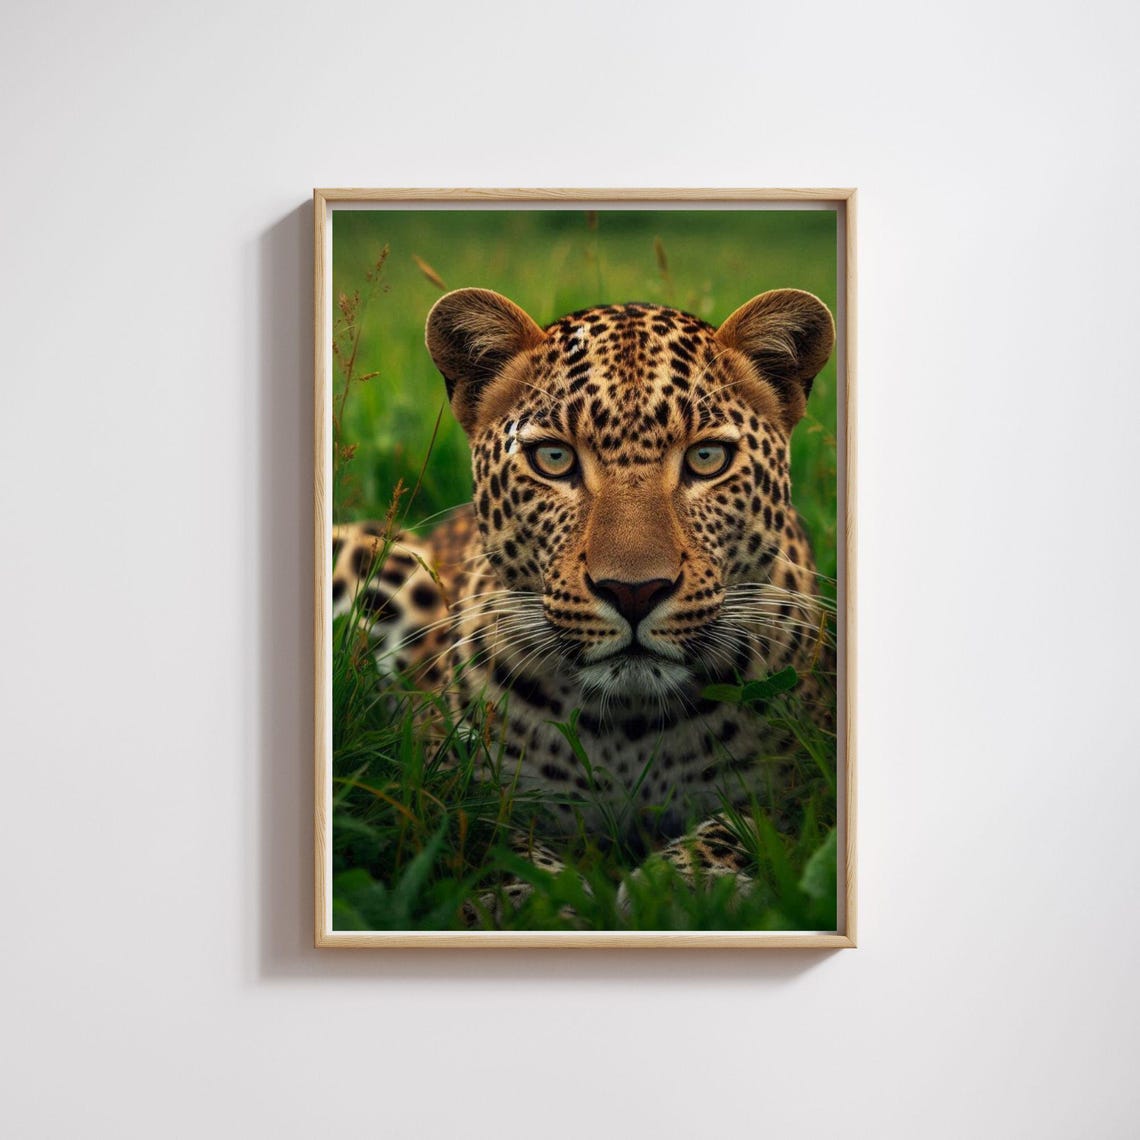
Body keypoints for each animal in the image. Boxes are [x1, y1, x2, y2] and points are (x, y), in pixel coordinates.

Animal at [332, 286, 836, 903]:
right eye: (554, 459)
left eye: (707, 458)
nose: (634, 591)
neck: (630, 727)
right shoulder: (444, 790)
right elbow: (484, 839)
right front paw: (535, 899)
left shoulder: (802, 790)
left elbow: (742, 830)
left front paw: (679, 889)